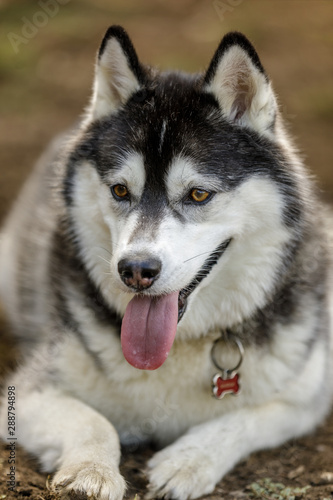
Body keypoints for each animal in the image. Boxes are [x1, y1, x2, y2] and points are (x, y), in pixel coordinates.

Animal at [0, 26, 332, 500]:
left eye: (198, 194)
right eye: (120, 190)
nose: (136, 270)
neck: (178, 347)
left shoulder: (304, 398)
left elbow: (244, 418)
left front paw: (187, 461)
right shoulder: (27, 392)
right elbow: (92, 420)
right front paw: (90, 471)